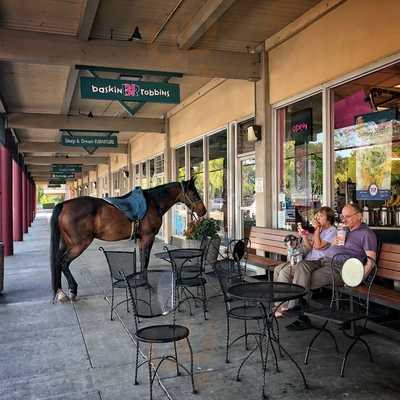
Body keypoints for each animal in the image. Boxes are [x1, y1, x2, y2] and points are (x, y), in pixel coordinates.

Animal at [50, 179, 206, 304]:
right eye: (193, 193)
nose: (203, 211)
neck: (153, 202)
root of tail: (64, 204)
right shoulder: (148, 237)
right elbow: (145, 261)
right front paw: (146, 285)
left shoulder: (141, 239)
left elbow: (142, 260)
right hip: (79, 244)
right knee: (64, 262)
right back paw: (71, 290)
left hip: (66, 243)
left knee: (58, 262)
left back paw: (61, 291)